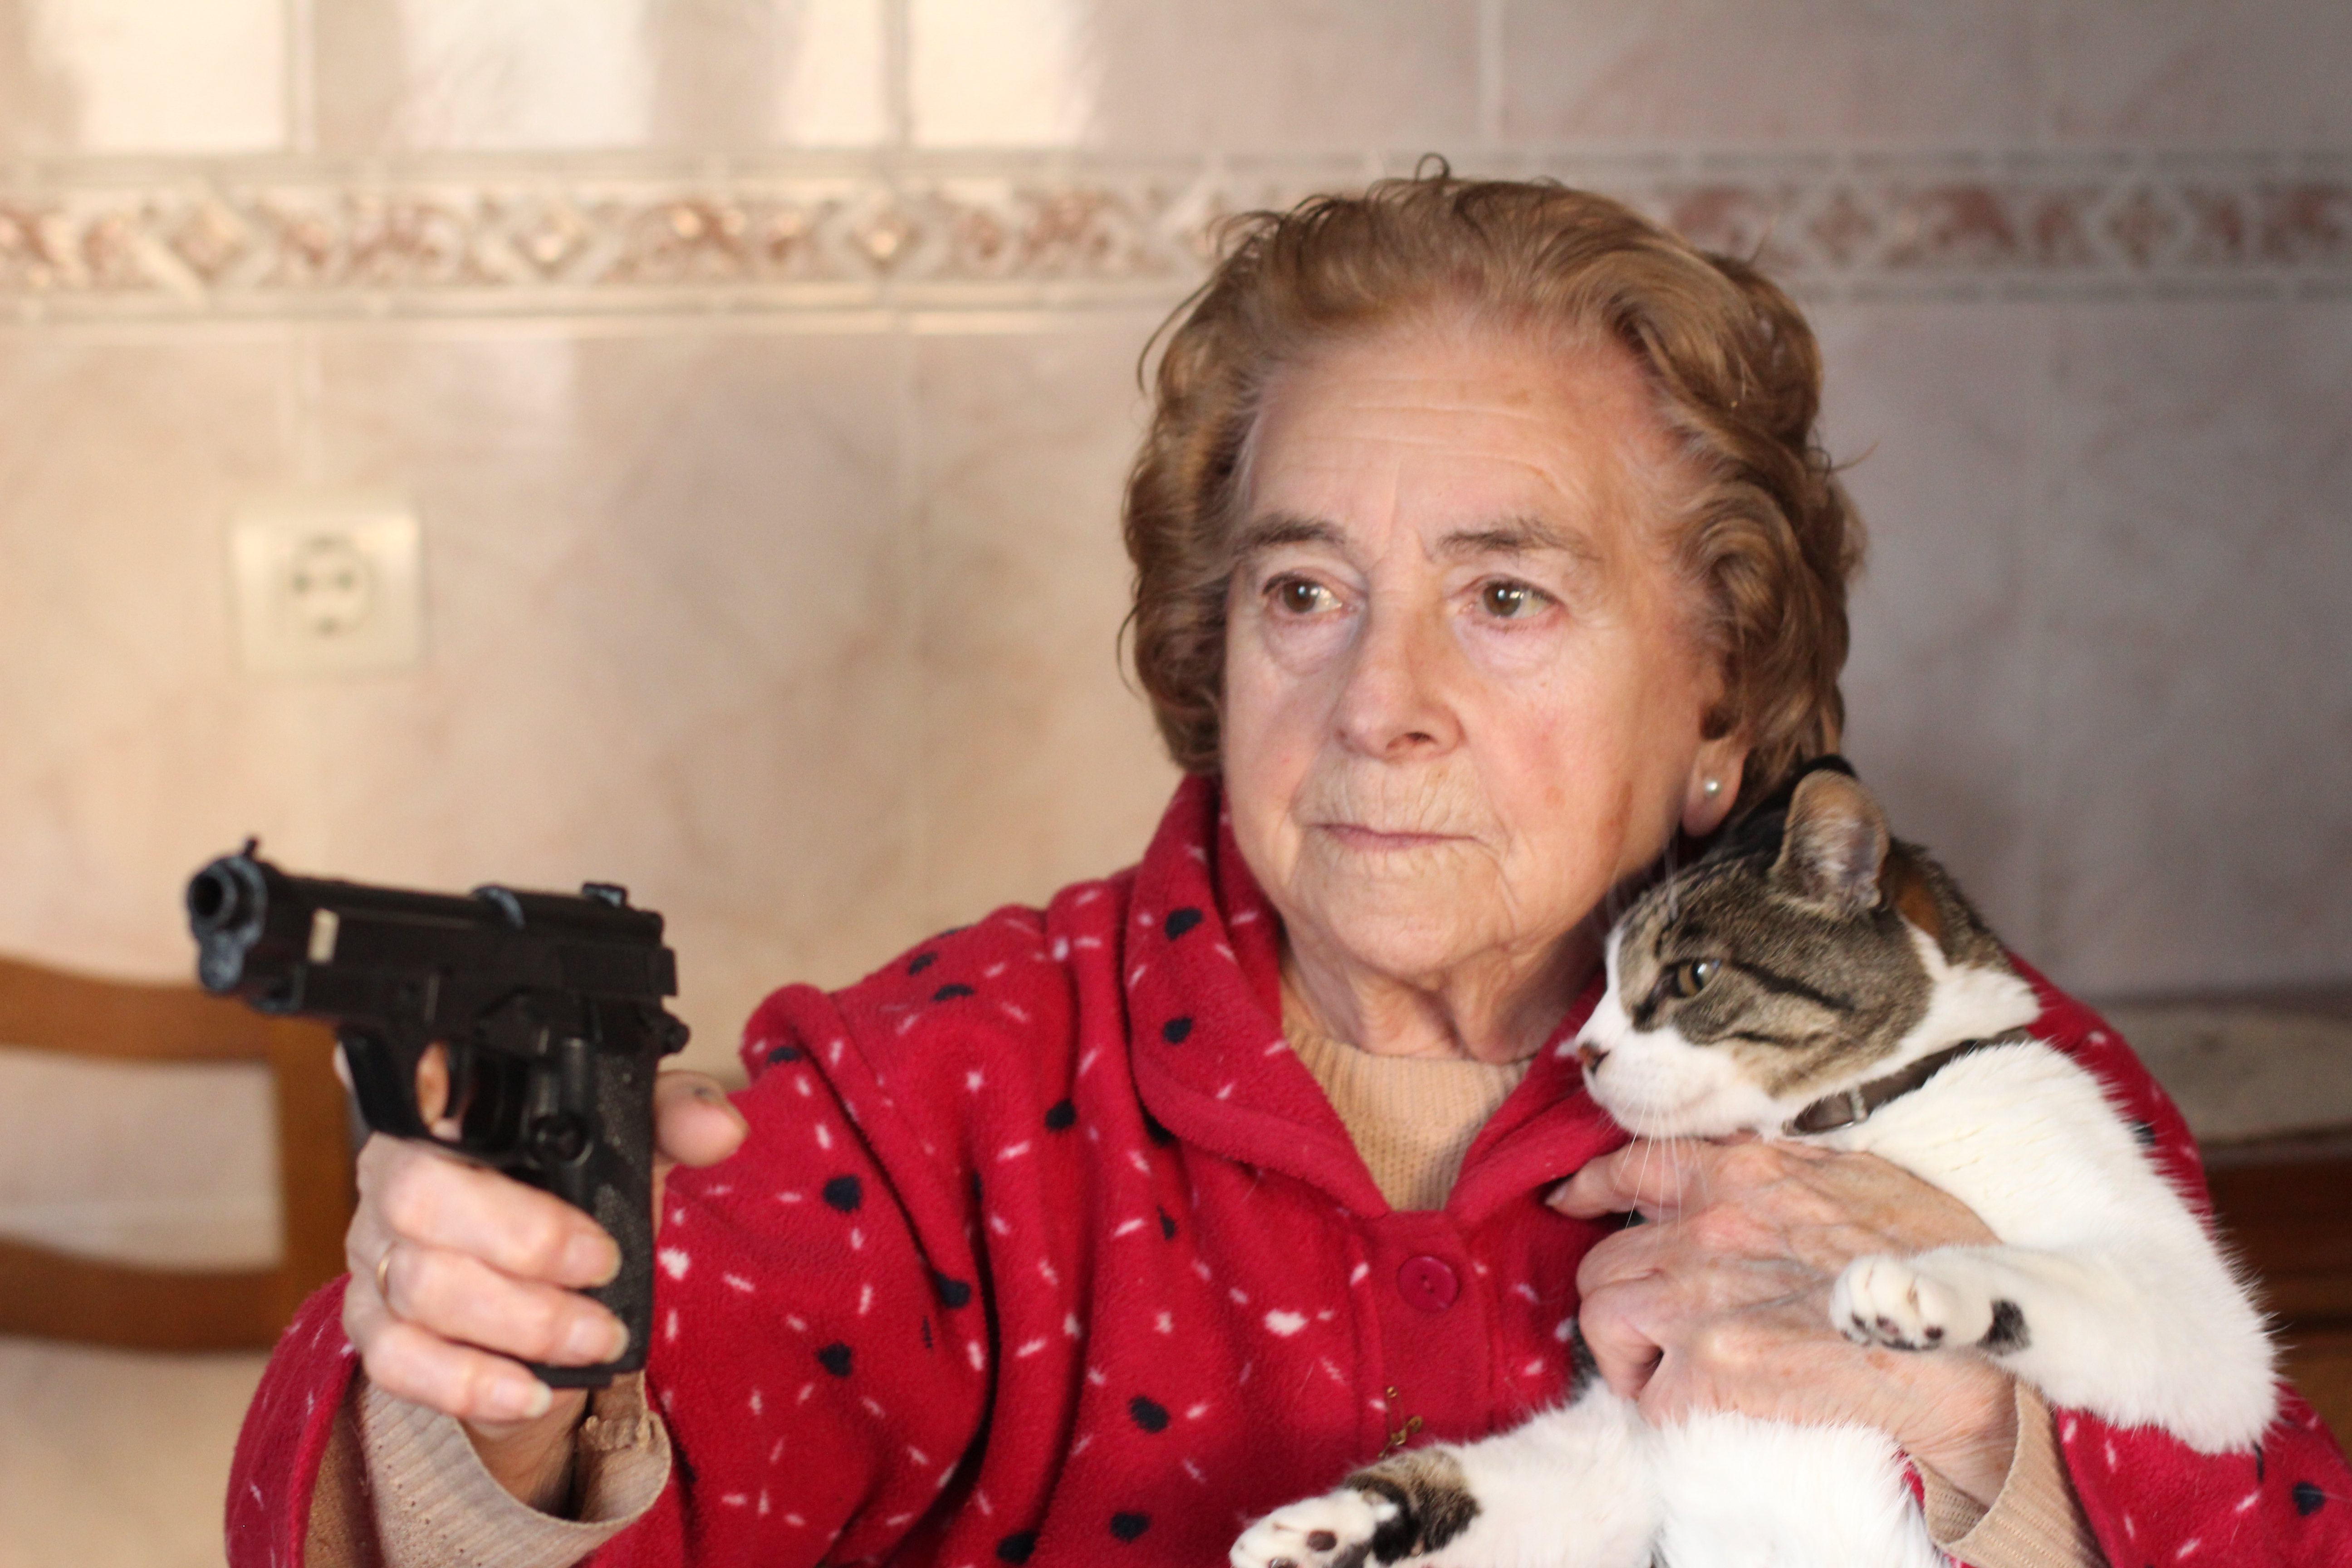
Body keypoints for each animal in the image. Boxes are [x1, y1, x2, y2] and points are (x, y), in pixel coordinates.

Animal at [1232, 761, 2277, 1568]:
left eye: (1689, 976)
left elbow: (2070, 1288)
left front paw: (1918, 1288)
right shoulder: (1629, 1436)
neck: (1839, 1125)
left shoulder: (2204, 1325)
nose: (1586, 1052)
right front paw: (1332, 1523)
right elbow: (1492, 1483)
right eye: (1599, 985)